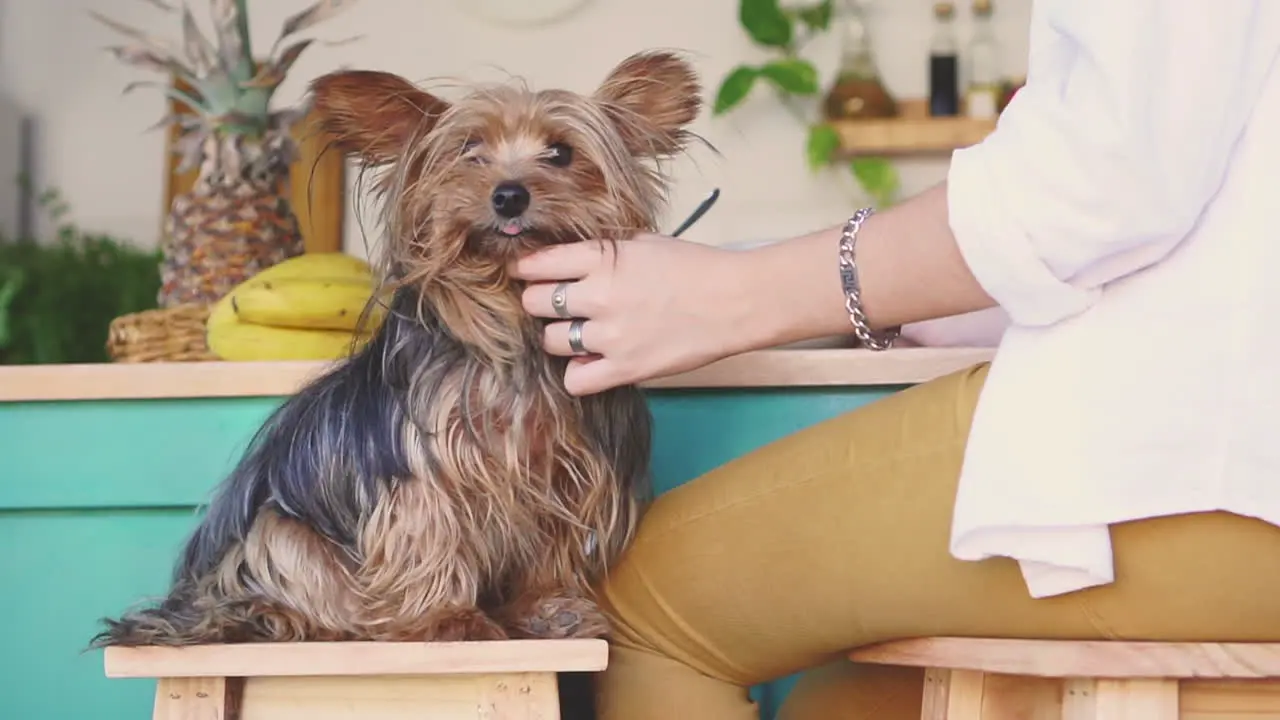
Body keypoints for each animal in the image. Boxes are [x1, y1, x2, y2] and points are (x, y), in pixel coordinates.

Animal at [93, 50, 706, 645]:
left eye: (561, 153)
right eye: (469, 152)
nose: (509, 196)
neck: (510, 323)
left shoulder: (567, 473)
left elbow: (550, 548)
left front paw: (549, 609)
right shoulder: (424, 467)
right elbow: (428, 528)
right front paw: (446, 617)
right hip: (277, 533)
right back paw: (287, 617)